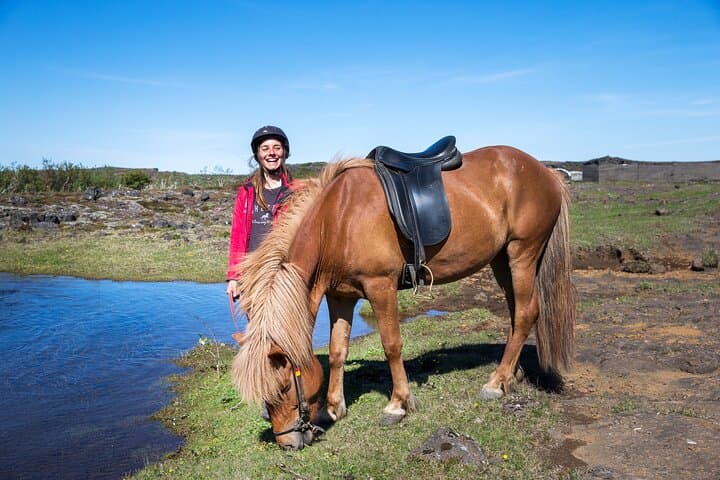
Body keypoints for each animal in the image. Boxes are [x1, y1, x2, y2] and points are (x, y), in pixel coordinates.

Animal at [231, 145, 576, 450]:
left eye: (285, 386)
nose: (287, 443)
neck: (337, 221)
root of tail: (545, 171)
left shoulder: (380, 287)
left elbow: (391, 345)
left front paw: (398, 404)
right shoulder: (340, 297)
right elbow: (338, 349)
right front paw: (334, 407)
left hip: (522, 254)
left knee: (526, 312)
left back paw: (496, 383)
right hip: (502, 260)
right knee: (517, 312)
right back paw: (510, 375)